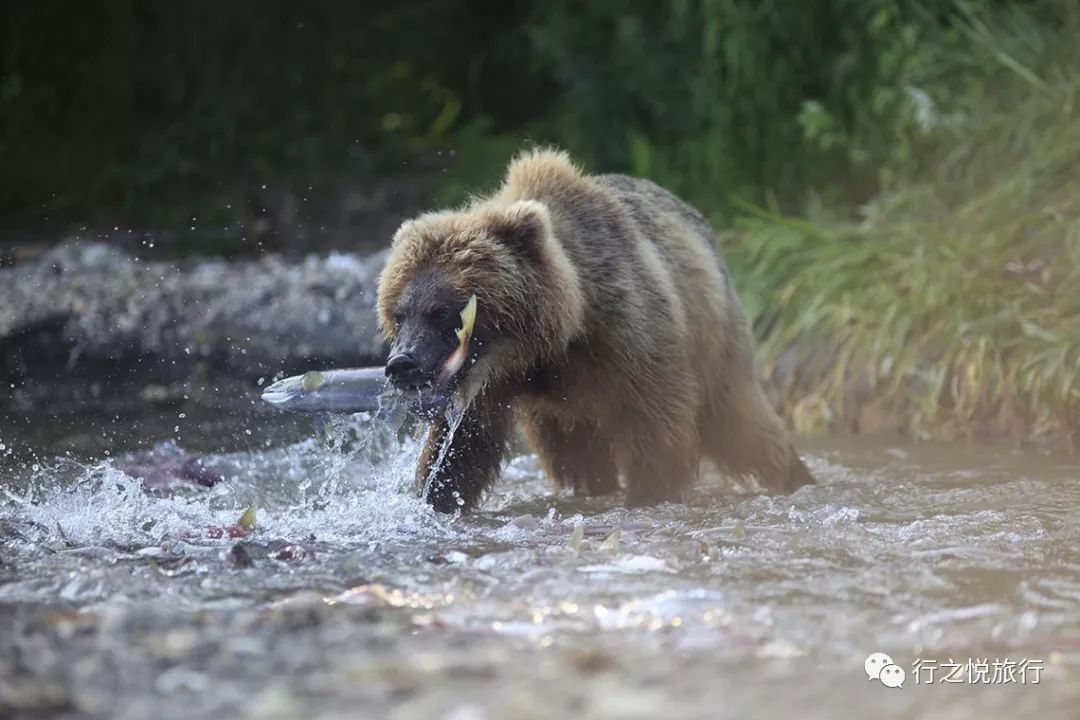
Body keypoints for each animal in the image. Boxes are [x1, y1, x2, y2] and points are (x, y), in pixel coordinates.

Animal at [375, 148, 812, 511]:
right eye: (399, 312)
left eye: (440, 311)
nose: (402, 363)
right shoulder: (491, 386)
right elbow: (461, 447)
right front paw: (432, 497)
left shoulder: (628, 331)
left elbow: (656, 417)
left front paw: (649, 491)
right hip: (562, 416)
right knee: (575, 454)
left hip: (714, 335)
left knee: (738, 420)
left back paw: (794, 475)